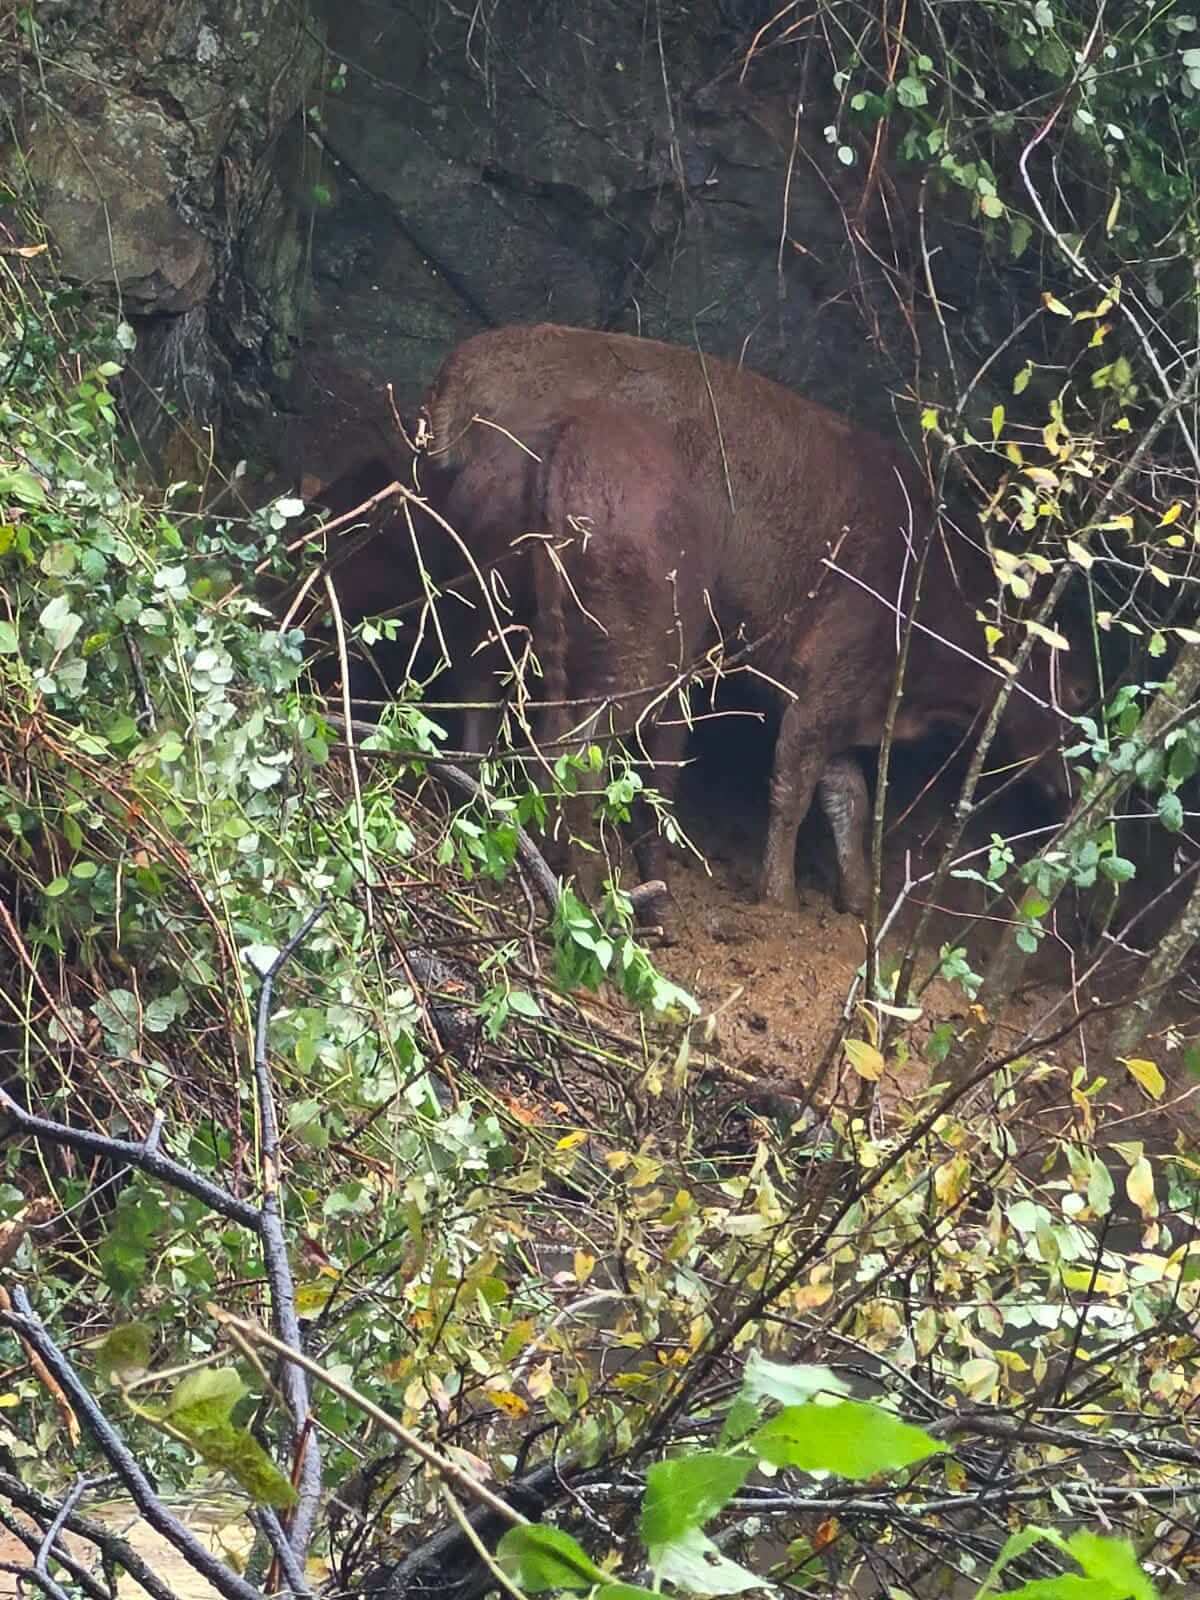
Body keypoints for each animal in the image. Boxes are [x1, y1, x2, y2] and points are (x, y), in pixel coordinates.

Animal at [419, 322, 1094, 915]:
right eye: (1076, 690)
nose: (1074, 790)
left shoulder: (844, 701)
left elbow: (846, 798)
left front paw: (855, 899)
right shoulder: (824, 684)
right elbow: (793, 788)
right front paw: (780, 898)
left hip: (484, 601)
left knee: (479, 696)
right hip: (634, 656)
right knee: (576, 750)